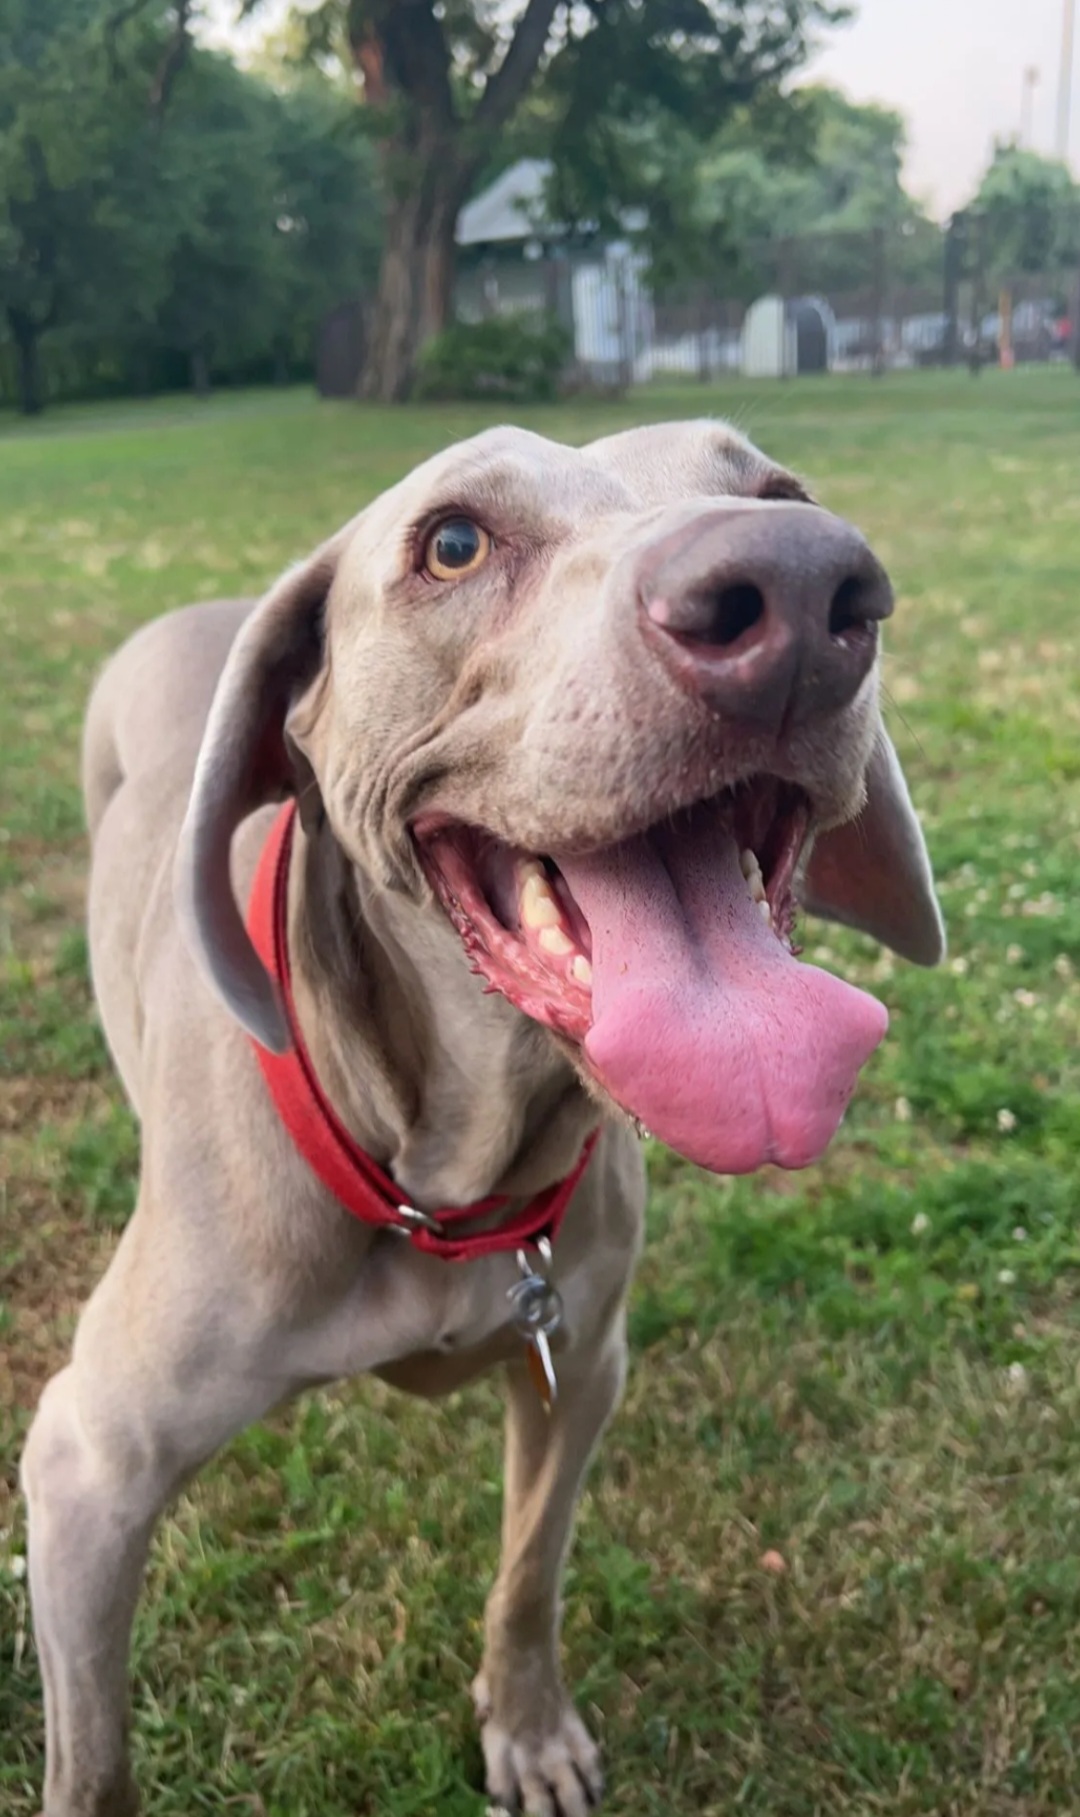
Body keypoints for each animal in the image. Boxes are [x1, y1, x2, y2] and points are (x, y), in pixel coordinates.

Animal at [21, 417, 938, 1809]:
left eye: (779, 491)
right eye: (452, 540)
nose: (800, 587)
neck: (442, 1163)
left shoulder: (584, 1363)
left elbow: (527, 1573)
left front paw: (530, 1729)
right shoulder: (84, 1470)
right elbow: (96, 1761)